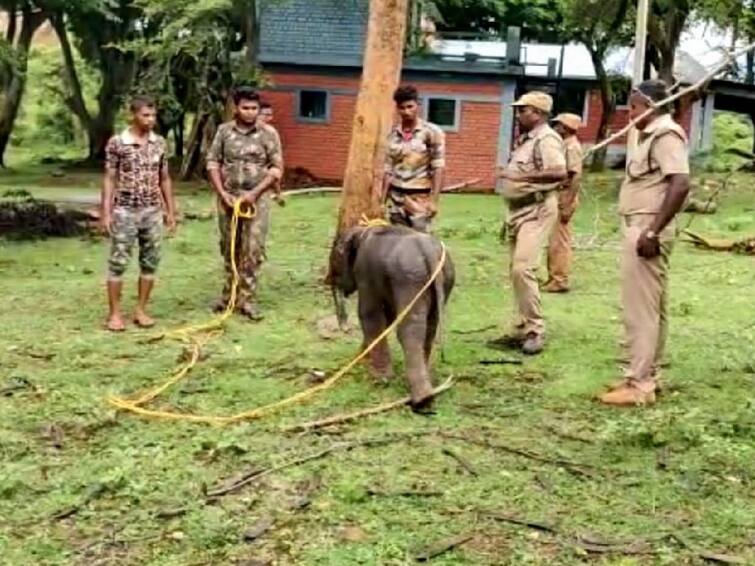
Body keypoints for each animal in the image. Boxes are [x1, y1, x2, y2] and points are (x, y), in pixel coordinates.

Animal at [330, 224, 454, 410]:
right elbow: (387, 317)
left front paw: (380, 379)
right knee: (430, 326)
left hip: (409, 279)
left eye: (334, 255)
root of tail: (429, 252)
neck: (362, 231)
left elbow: (369, 314)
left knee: (409, 330)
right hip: (444, 279)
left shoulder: (365, 271)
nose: (343, 326)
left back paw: (422, 399)